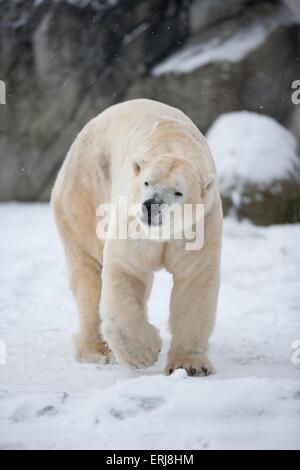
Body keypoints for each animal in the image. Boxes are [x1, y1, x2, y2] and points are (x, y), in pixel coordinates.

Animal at [51, 98, 223, 374]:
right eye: (146, 182)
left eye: (178, 192)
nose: (151, 206)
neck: (174, 141)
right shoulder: (130, 219)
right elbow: (126, 269)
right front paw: (144, 353)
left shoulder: (200, 224)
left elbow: (195, 280)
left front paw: (190, 366)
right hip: (84, 196)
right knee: (89, 273)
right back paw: (96, 351)